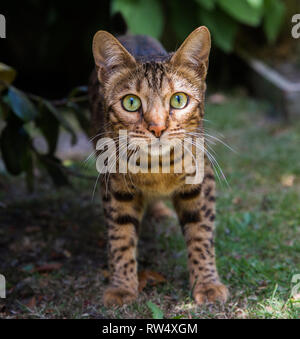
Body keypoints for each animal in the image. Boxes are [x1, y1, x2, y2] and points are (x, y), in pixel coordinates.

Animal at [88, 27, 229, 308]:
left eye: (178, 100)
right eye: (131, 102)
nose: (157, 128)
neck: (157, 168)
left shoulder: (200, 179)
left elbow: (201, 234)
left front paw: (207, 283)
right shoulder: (115, 184)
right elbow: (120, 236)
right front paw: (122, 287)